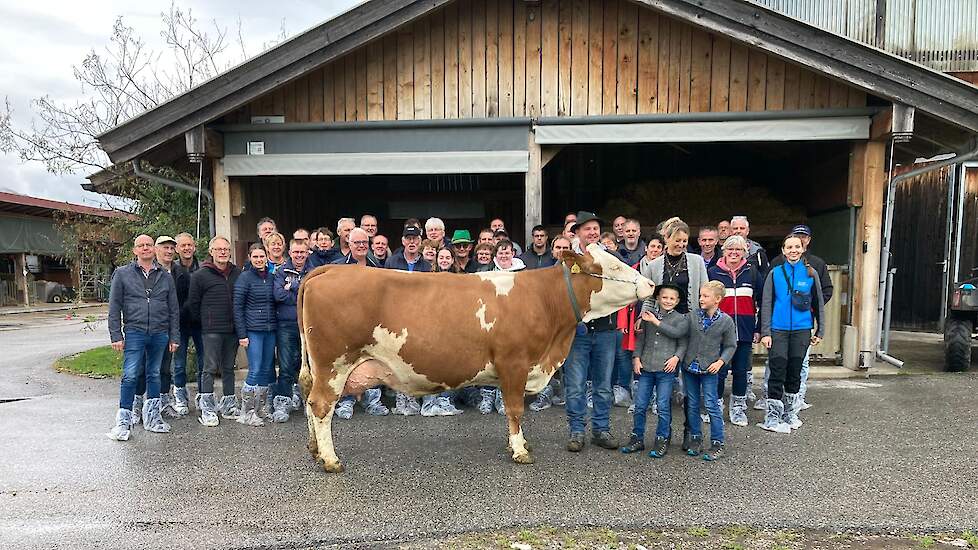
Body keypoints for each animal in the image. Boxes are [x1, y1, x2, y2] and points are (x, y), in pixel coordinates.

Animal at [298, 244, 648, 472]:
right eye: (613, 267)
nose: (649, 283)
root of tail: (329, 269)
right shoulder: (514, 363)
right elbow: (515, 409)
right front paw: (520, 451)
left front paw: (518, 444)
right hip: (334, 363)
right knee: (321, 405)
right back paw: (331, 460)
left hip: (321, 367)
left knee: (309, 400)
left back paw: (315, 451)